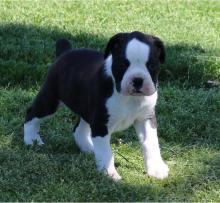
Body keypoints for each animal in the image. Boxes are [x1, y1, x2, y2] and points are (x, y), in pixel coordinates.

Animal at [23, 31, 168, 181]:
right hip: (50, 101)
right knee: (31, 114)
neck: (130, 98)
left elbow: (151, 144)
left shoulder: (146, 119)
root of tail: (65, 52)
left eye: (151, 65)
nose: (138, 79)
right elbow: (106, 152)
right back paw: (32, 140)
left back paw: (88, 148)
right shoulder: (100, 124)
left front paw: (156, 169)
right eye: (123, 64)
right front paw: (110, 174)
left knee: (78, 129)